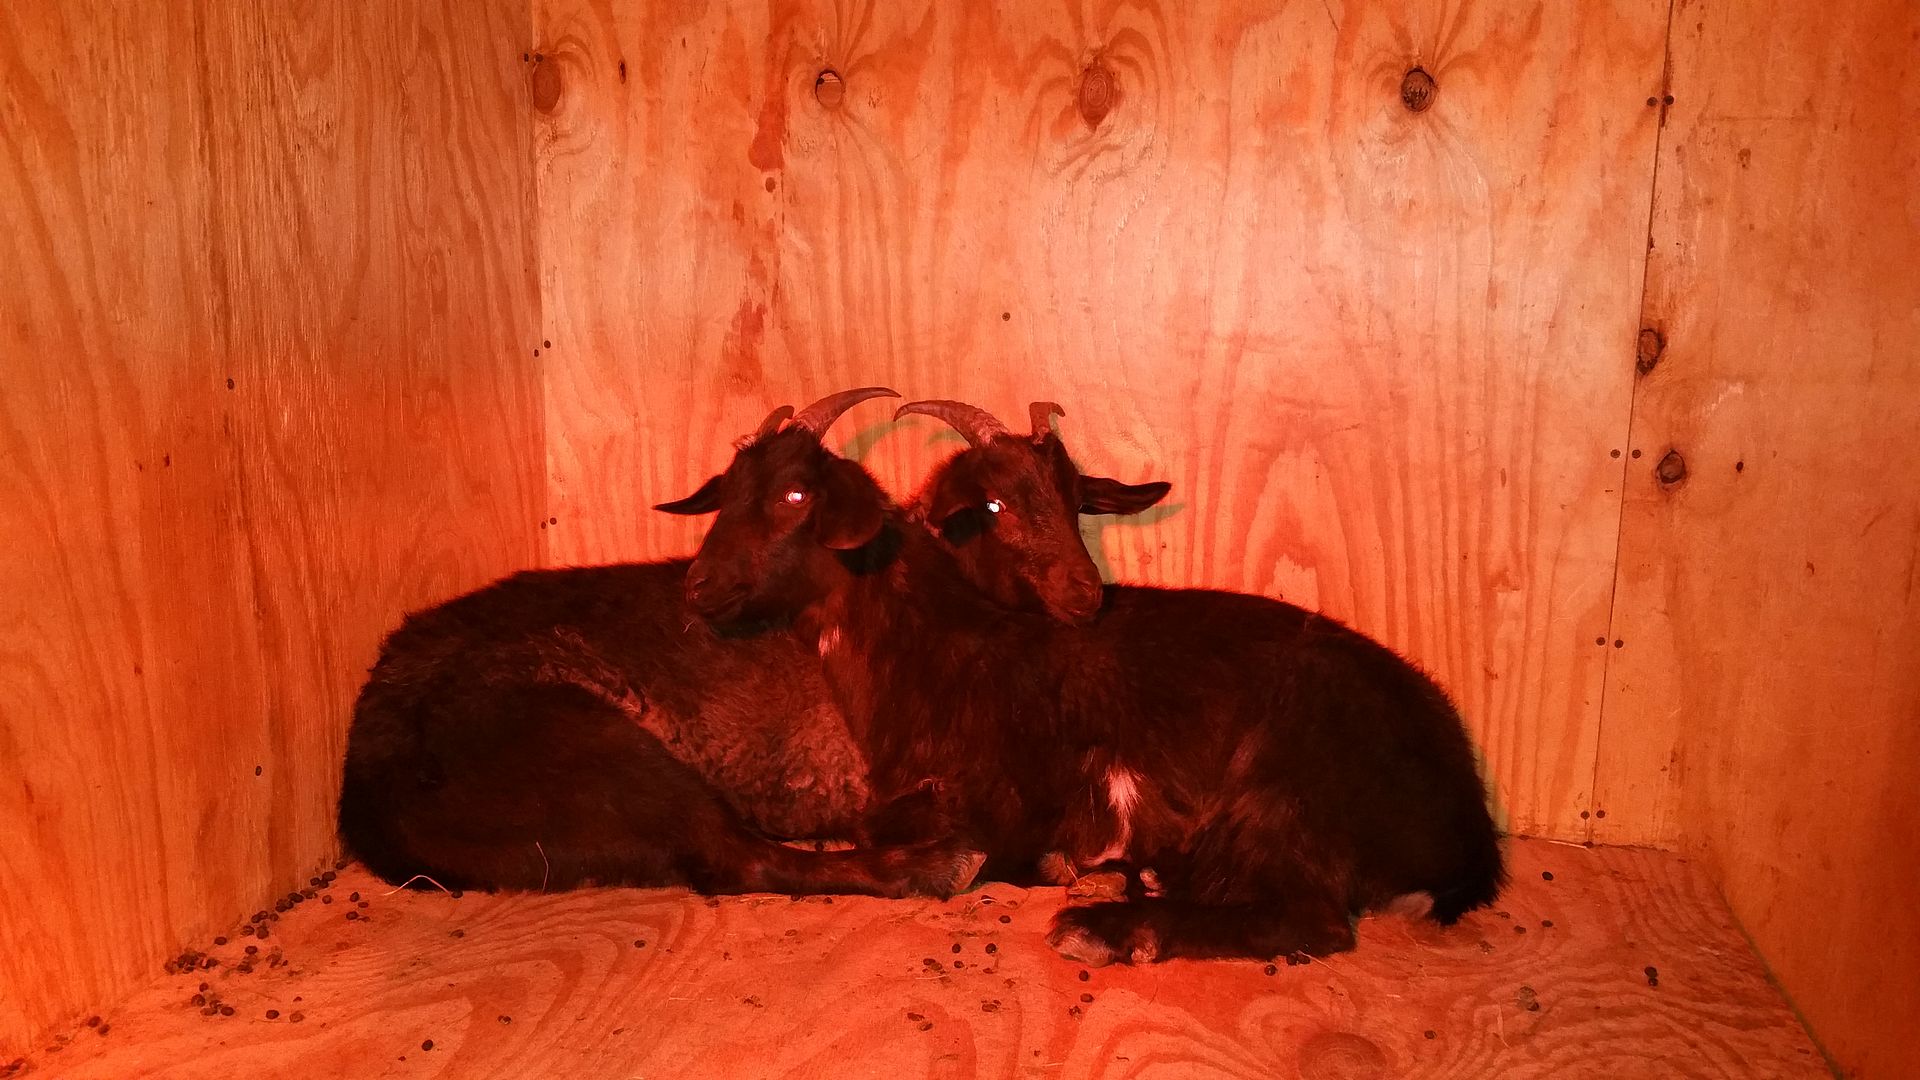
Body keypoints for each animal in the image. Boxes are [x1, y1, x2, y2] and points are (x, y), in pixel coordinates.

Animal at [337, 389, 1169, 898]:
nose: (1086, 593)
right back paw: (932, 869)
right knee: (738, 860)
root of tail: (362, 775)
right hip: (593, 751)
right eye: (993, 506)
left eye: (1075, 500)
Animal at [669, 411, 1504, 964]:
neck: (939, 640)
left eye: (794, 496)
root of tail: (1468, 824)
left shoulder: (1004, 798)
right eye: (725, 494)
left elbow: (887, 834)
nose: (697, 585)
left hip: (1287, 779)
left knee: (1312, 917)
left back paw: (1107, 930)